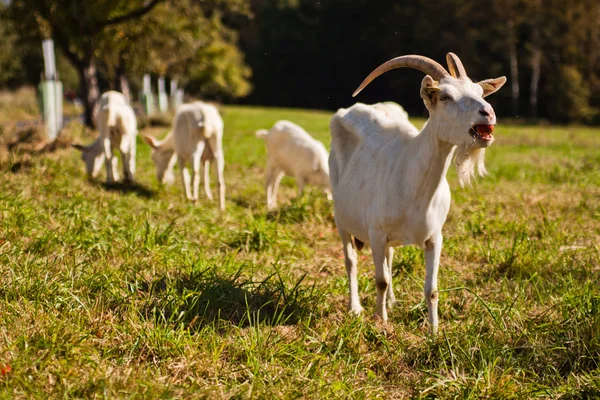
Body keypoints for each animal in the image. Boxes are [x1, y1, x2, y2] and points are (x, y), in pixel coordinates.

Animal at [330, 54, 504, 334]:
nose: (487, 113)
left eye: (480, 93)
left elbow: (431, 289)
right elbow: (380, 279)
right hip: (341, 218)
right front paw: (381, 322)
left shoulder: (435, 237)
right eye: (445, 96)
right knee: (351, 261)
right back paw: (355, 307)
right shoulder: (376, 233)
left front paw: (434, 332)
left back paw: (391, 302)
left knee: (389, 258)